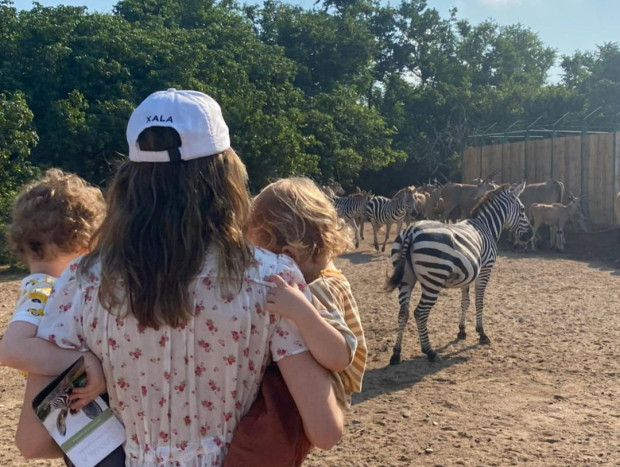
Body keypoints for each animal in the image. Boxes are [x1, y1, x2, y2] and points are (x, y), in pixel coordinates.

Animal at [386, 181, 532, 364]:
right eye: (523, 210)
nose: (530, 235)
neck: (486, 226)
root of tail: (411, 231)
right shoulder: (485, 270)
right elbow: (479, 302)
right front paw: (481, 333)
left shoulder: (468, 274)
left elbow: (465, 302)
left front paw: (462, 331)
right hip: (433, 280)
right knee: (420, 313)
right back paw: (429, 351)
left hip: (406, 279)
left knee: (403, 313)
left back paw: (396, 353)